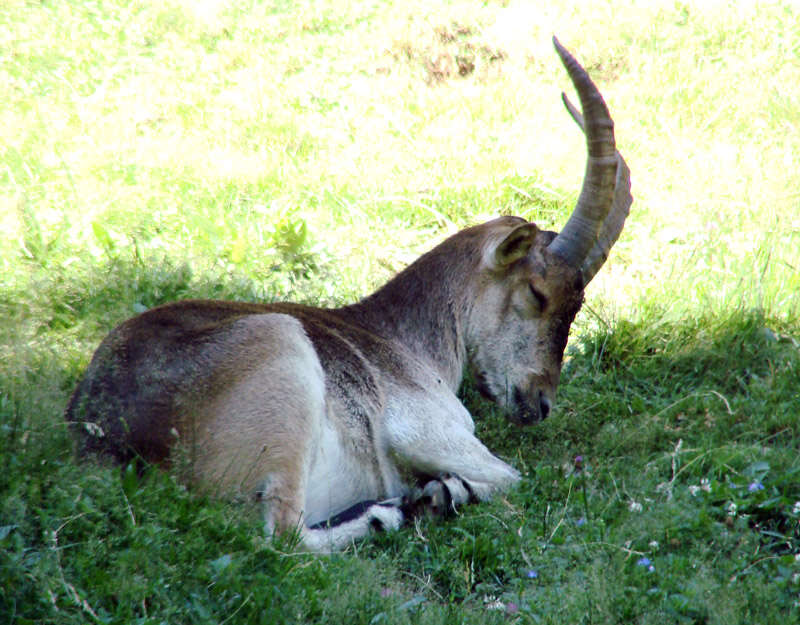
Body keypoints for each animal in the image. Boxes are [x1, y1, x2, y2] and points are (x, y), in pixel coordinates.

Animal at [65, 37, 632, 552]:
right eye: (537, 292)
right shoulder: (429, 432)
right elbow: (509, 476)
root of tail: (111, 444)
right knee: (284, 537)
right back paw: (395, 511)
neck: (403, 340)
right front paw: (442, 492)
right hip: (283, 368)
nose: (540, 401)